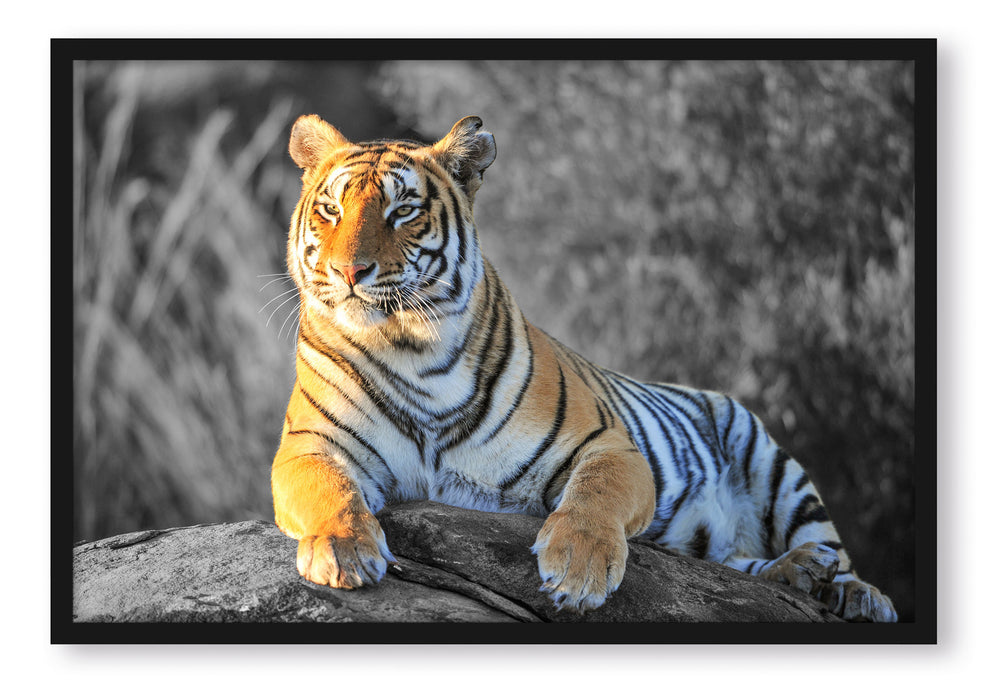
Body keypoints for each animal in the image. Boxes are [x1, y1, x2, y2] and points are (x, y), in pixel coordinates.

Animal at [271, 113, 898, 622]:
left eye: (402, 211)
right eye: (330, 210)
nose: (349, 271)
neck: (410, 349)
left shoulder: (608, 444)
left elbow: (596, 494)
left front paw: (578, 568)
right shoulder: (309, 446)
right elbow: (329, 490)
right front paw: (344, 550)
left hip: (773, 463)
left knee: (828, 547)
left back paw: (852, 591)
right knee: (738, 563)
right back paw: (799, 573)